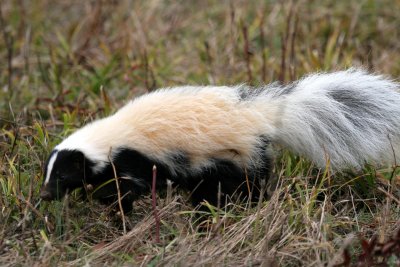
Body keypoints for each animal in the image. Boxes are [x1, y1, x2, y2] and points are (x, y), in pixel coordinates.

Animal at [39, 69, 400, 211]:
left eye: (64, 173)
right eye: (48, 171)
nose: (43, 194)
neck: (111, 134)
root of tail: (262, 113)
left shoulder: (134, 159)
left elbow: (128, 187)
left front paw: (111, 205)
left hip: (235, 156)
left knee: (245, 183)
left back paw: (244, 205)